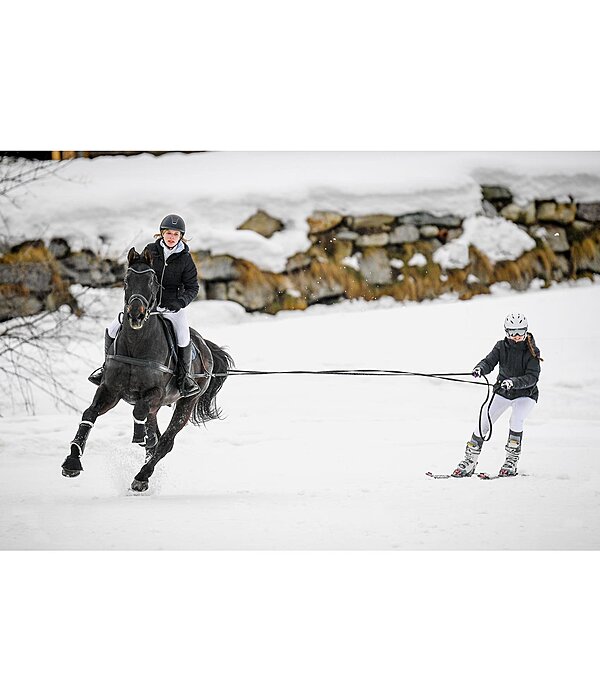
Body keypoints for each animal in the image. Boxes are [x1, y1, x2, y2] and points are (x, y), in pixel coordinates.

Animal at [58, 246, 232, 492]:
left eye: (152, 281)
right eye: (126, 280)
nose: (135, 314)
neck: (136, 345)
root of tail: (205, 346)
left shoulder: (154, 394)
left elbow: (139, 413)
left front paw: (138, 436)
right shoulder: (110, 390)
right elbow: (89, 414)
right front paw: (72, 462)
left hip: (186, 402)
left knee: (166, 441)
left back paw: (142, 476)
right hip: (156, 407)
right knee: (156, 438)